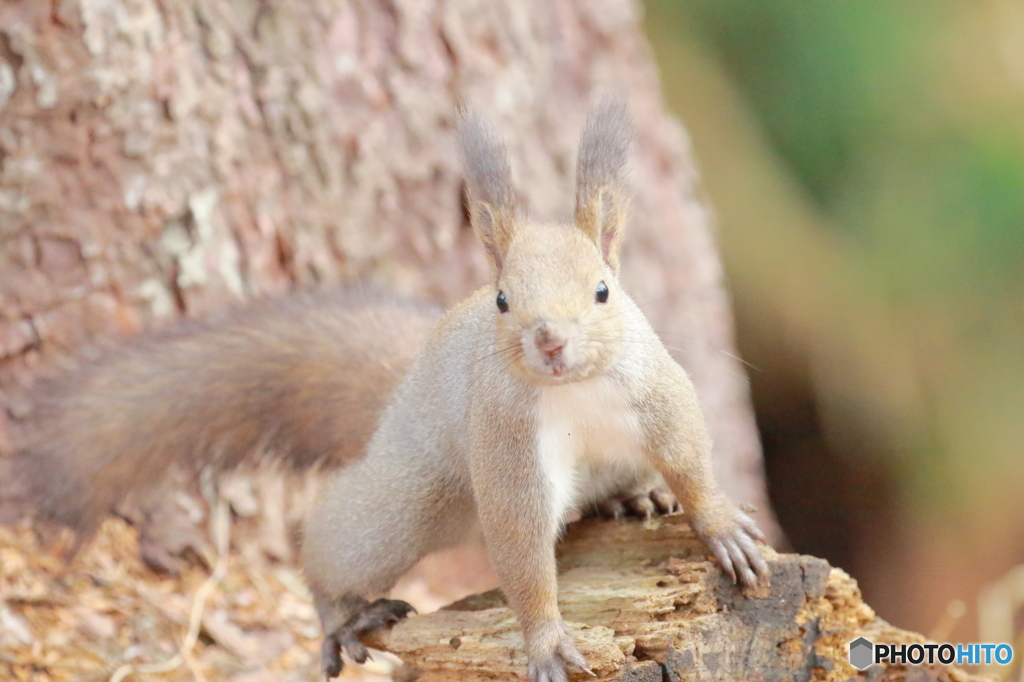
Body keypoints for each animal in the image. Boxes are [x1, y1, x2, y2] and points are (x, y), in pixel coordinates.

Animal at [4, 96, 765, 679]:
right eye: (503, 301)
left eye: (603, 291)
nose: (549, 340)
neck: (572, 389)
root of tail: (399, 396)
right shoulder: (505, 439)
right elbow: (521, 549)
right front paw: (547, 641)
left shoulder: (656, 392)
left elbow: (692, 460)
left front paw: (723, 528)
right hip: (414, 498)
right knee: (330, 542)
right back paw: (341, 616)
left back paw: (638, 495)